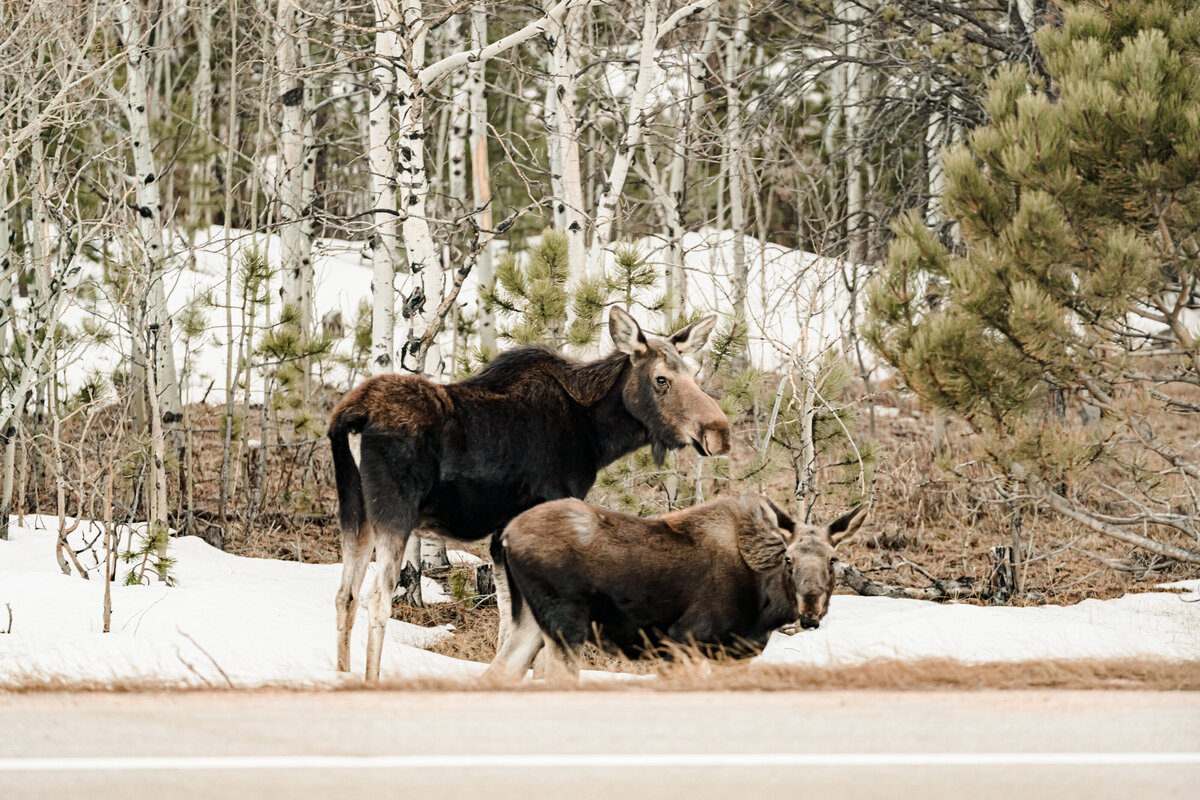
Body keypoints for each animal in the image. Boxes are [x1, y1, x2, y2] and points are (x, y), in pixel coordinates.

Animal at [328, 307, 729, 681]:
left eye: (693, 373)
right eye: (661, 379)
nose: (718, 432)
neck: (596, 437)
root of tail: (353, 415)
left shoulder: (501, 535)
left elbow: (509, 628)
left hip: (354, 510)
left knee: (345, 594)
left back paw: (342, 673)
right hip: (393, 512)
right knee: (377, 598)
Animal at [482, 496, 868, 681]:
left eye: (833, 559)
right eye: (788, 559)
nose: (810, 608)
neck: (764, 605)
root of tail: (505, 536)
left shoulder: (737, 654)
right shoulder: (682, 640)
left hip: (528, 621)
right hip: (567, 623)